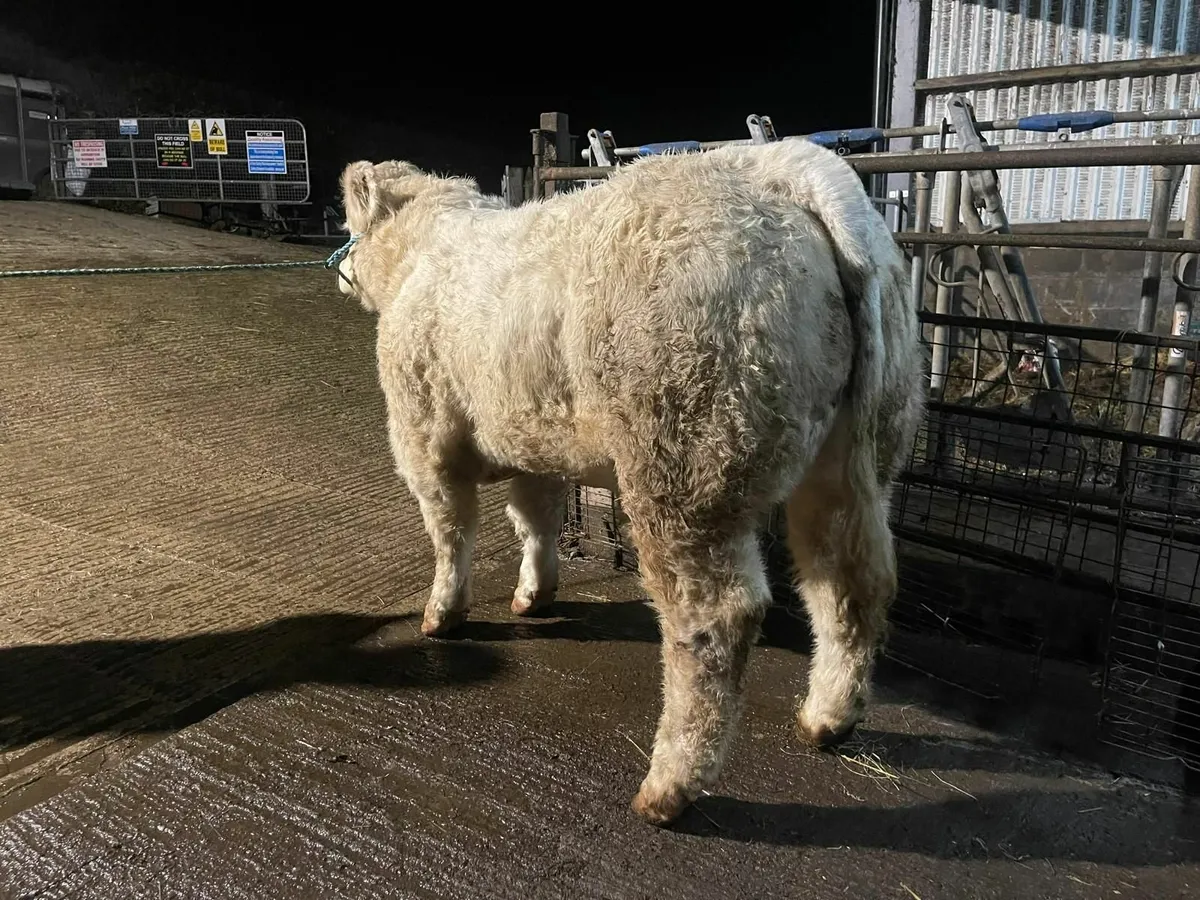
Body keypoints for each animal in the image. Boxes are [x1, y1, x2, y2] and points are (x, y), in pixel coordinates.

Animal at [333, 137, 925, 826]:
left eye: (347, 224)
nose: (337, 269)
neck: (420, 255)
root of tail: (788, 170)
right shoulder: (535, 439)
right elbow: (535, 519)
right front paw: (534, 595)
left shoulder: (423, 434)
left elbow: (452, 532)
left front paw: (442, 614)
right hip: (855, 456)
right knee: (851, 582)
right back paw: (827, 719)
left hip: (685, 459)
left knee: (717, 617)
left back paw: (668, 787)